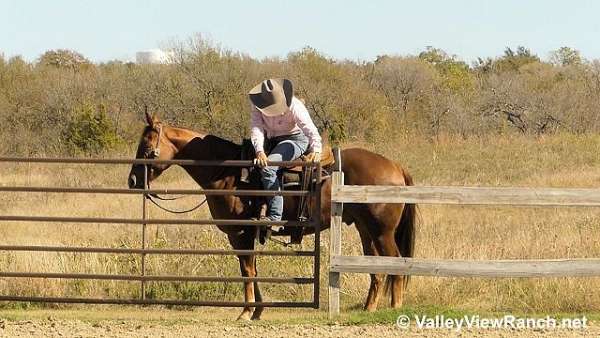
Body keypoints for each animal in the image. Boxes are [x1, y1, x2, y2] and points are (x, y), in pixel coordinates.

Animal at [126, 112, 418, 320]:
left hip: (382, 232)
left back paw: (395, 308)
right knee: (377, 269)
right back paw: (370, 308)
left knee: (396, 264)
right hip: (366, 230)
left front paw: (246, 312)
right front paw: (257, 310)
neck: (228, 172)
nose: (132, 180)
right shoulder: (247, 235)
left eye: (145, 145)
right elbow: (252, 270)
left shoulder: (239, 233)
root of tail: (395, 166)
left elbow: (247, 271)